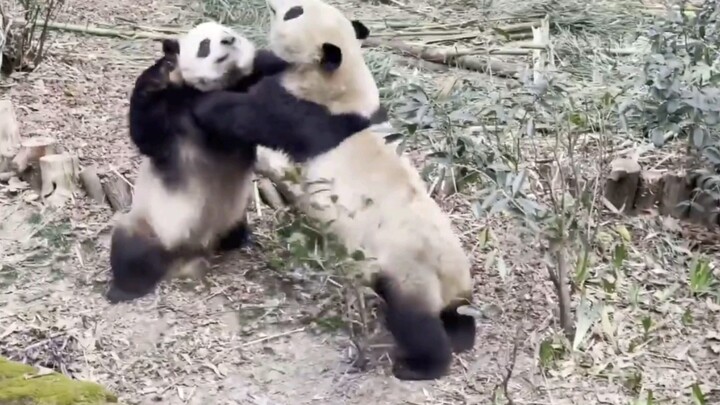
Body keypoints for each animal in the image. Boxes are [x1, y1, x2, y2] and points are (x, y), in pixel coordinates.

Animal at [109, 20, 376, 302]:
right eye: (205, 44)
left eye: (229, 33)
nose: (228, 41)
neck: (223, 84)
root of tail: (194, 248)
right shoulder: (174, 115)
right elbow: (147, 132)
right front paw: (162, 70)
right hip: (154, 222)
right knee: (132, 250)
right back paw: (123, 288)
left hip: (233, 214)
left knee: (233, 230)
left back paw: (241, 240)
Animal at [187, 0, 478, 382]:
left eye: (295, 12)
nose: (274, 4)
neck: (342, 79)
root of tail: (452, 281)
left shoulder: (307, 115)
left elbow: (249, 114)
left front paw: (203, 103)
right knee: (454, 317)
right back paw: (459, 335)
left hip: (409, 268)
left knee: (415, 321)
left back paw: (419, 365)